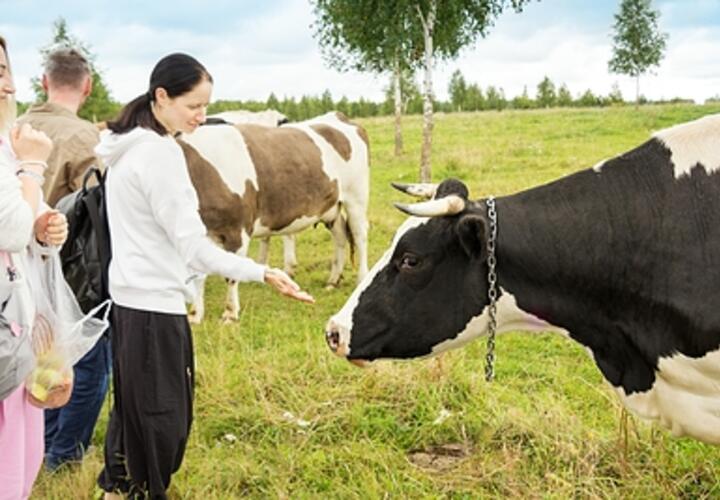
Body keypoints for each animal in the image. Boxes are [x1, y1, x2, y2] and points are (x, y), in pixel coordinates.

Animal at [180, 111, 372, 322]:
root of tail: (337, 116)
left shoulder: (238, 229)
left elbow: (231, 275)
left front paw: (230, 313)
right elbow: (198, 276)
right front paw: (195, 314)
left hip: (356, 197)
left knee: (360, 235)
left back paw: (361, 279)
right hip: (332, 207)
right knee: (340, 237)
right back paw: (333, 280)